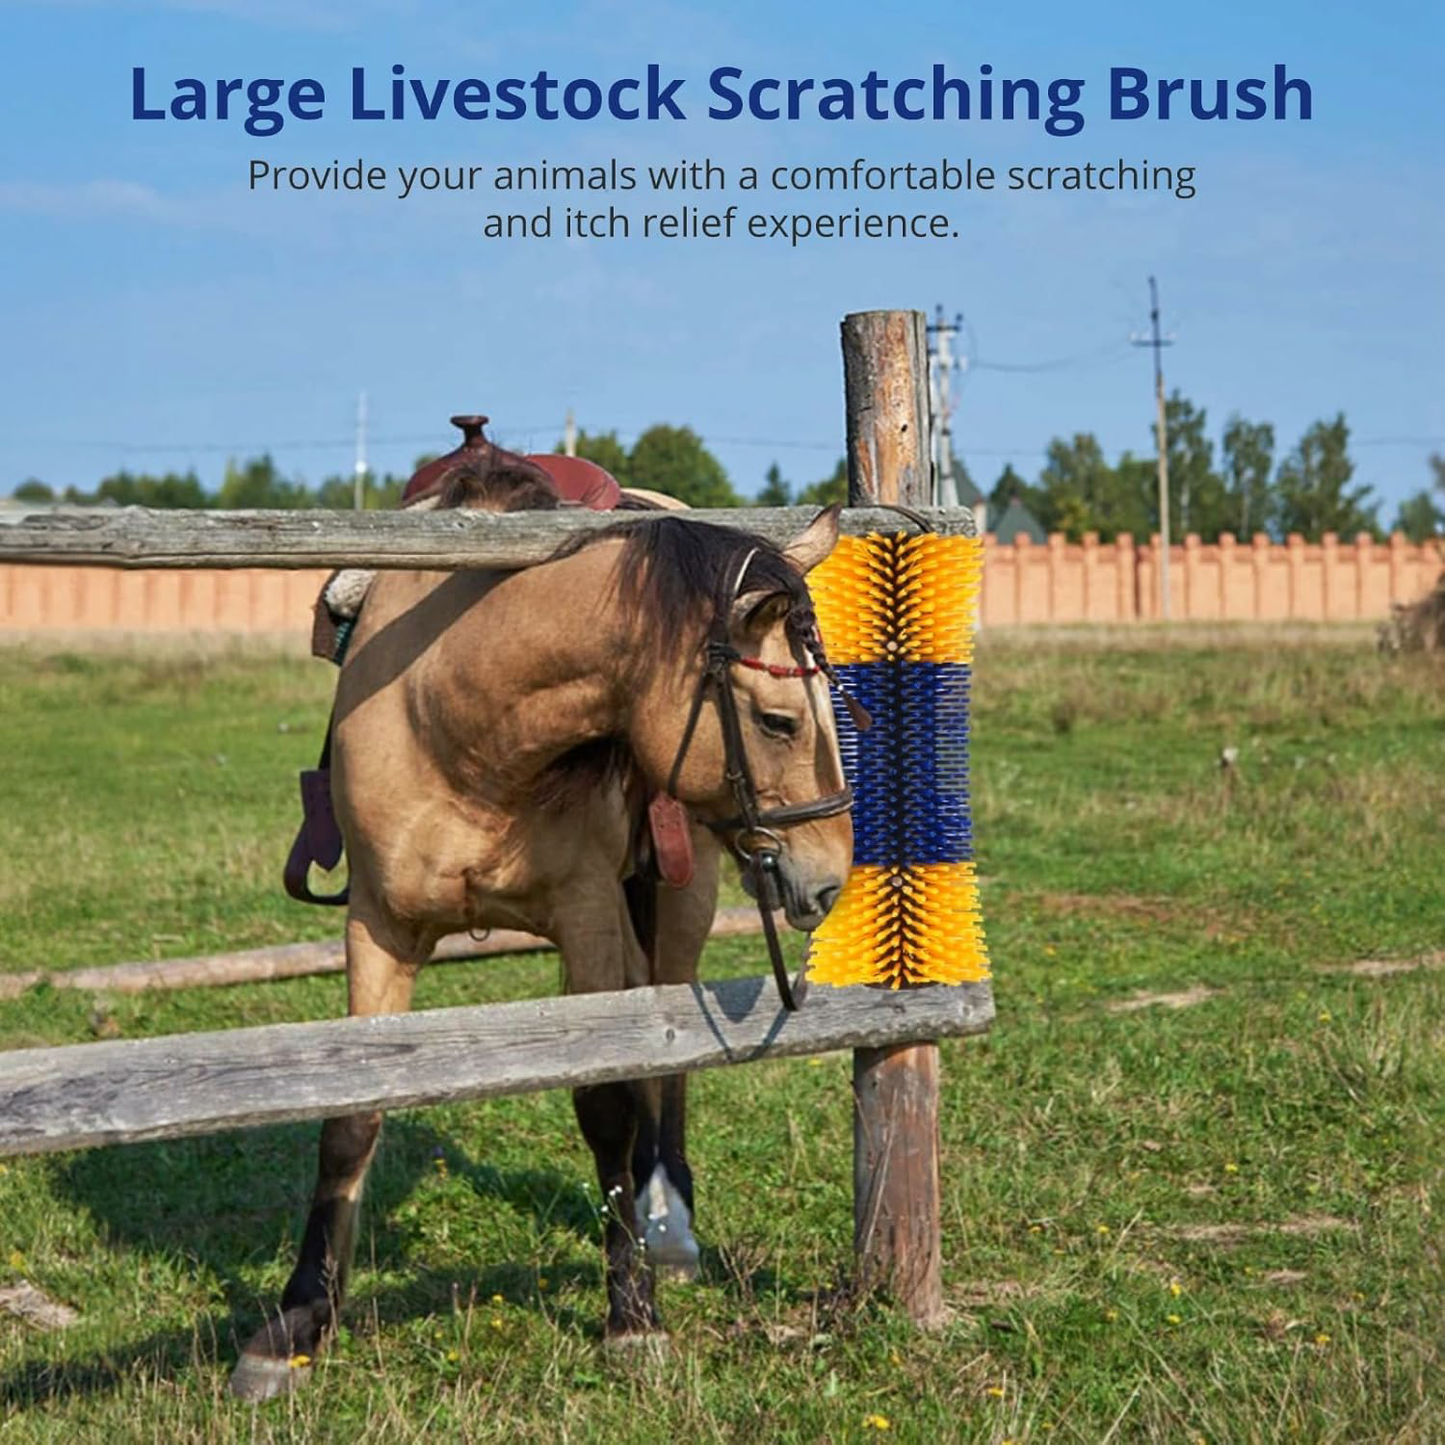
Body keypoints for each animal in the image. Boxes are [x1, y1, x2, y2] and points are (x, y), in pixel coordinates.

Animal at [230, 452, 853, 1401]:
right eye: (778, 719)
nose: (828, 877)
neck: (458, 723)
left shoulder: (587, 917)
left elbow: (605, 1105)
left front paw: (631, 1316)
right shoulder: (377, 927)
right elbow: (350, 1119)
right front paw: (299, 1321)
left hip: (679, 904)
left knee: (667, 1061)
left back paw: (667, 1222)